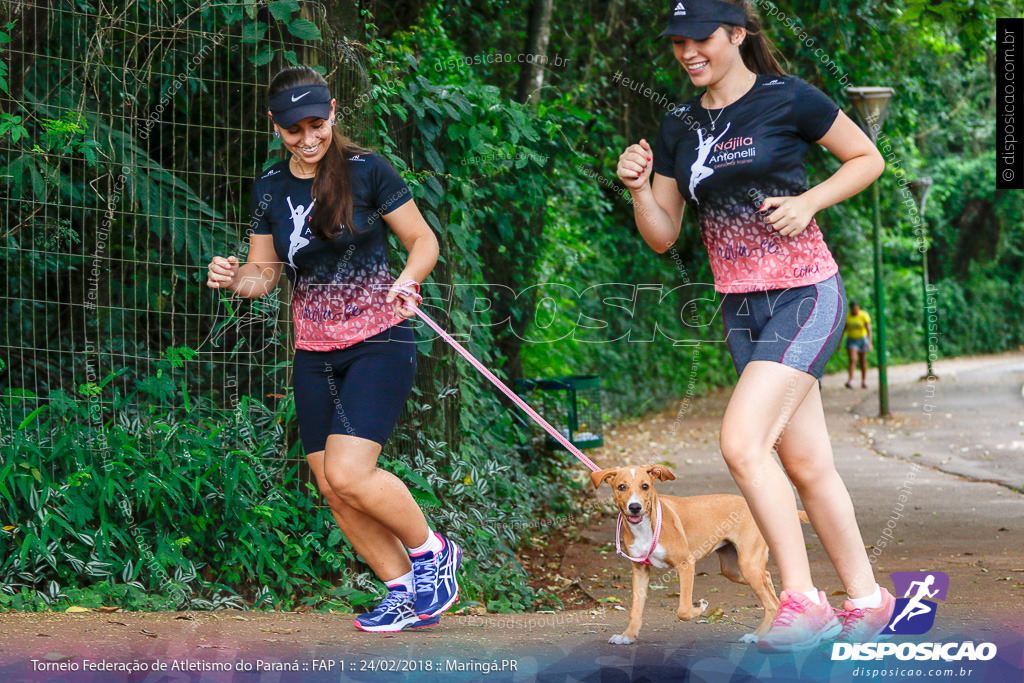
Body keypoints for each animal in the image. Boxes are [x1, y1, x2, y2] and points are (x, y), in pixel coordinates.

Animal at [593, 464, 806, 647]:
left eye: (645, 486)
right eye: (622, 487)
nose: (635, 507)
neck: (646, 526)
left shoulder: (686, 564)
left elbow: (684, 610)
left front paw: (701, 607)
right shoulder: (640, 570)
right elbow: (635, 610)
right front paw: (627, 636)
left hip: (748, 565)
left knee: (771, 603)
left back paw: (757, 635)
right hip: (734, 569)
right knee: (769, 581)